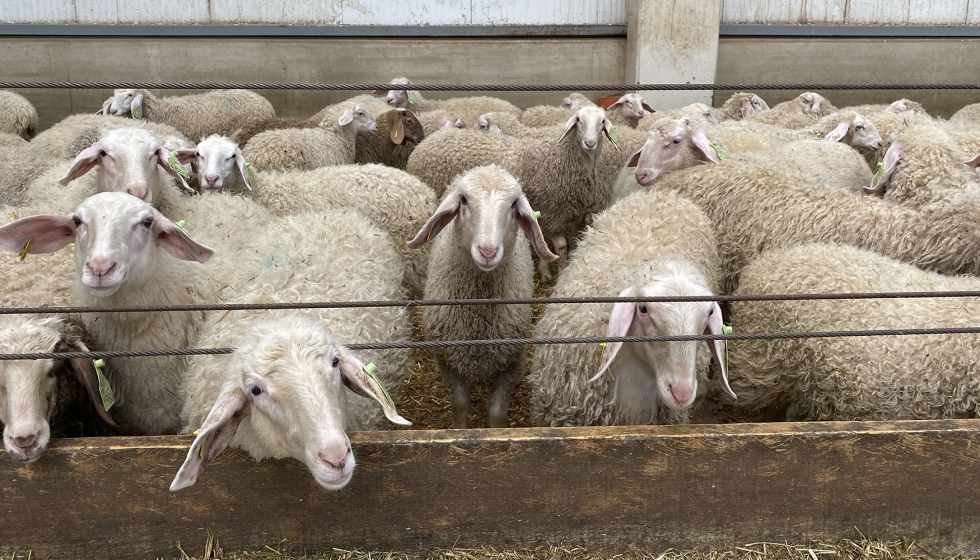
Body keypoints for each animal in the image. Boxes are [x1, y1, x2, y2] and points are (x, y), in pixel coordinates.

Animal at [408, 165, 556, 428]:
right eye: (464, 200)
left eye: (514, 204)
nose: (487, 252)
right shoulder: (447, 361)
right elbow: (460, 404)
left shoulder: (512, 362)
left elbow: (497, 413)